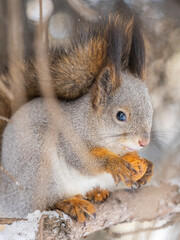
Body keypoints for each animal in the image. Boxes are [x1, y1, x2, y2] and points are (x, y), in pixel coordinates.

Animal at [0, 12, 153, 222]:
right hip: (39, 169)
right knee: (45, 203)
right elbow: (83, 159)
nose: (144, 142)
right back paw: (71, 203)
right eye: (120, 116)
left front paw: (147, 166)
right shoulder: (69, 137)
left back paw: (96, 192)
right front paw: (114, 163)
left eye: (151, 110)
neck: (90, 122)